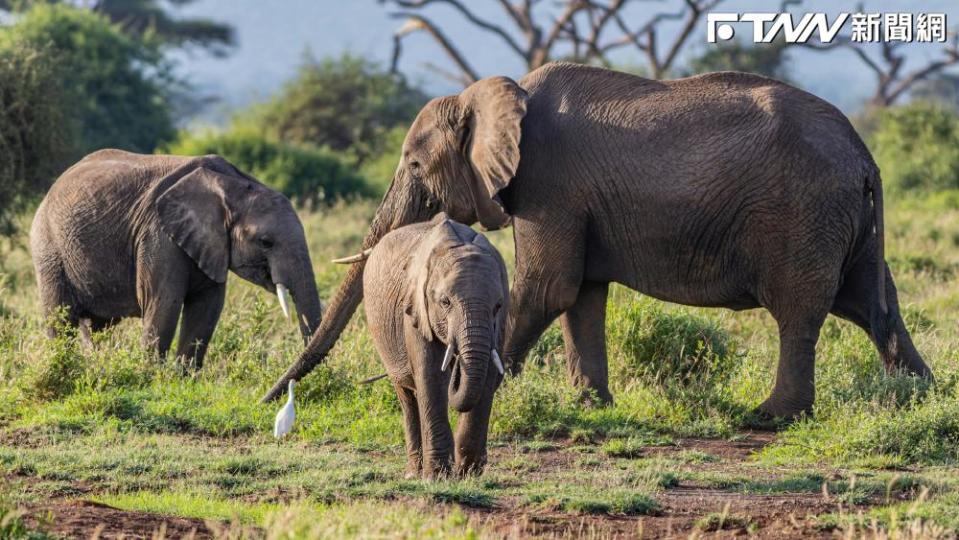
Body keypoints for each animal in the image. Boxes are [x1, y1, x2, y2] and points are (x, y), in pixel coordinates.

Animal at [30, 150, 322, 364]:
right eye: (266, 242)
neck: (232, 184)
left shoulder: (211, 244)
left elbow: (207, 307)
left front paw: (184, 379)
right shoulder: (158, 236)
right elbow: (164, 304)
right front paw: (149, 379)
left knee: (97, 326)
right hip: (48, 248)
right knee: (60, 318)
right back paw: (63, 365)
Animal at [262, 61, 928, 420]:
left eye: (416, 166)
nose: (273, 397)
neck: (494, 92)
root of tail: (865, 156)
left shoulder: (550, 182)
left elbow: (545, 288)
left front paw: (487, 393)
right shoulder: (575, 200)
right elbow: (580, 294)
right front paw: (589, 407)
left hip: (803, 214)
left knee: (800, 310)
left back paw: (770, 417)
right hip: (844, 221)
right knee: (870, 304)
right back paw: (918, 395)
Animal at [362, 213, 510, 478]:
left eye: (498, 306)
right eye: (445, 302)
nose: (457, 365)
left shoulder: (500, 324)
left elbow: (489, 374)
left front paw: (468, 473)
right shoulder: (415, 309)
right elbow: (430, 376)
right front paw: (437, 477)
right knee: (407, 396)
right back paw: (414, 472)